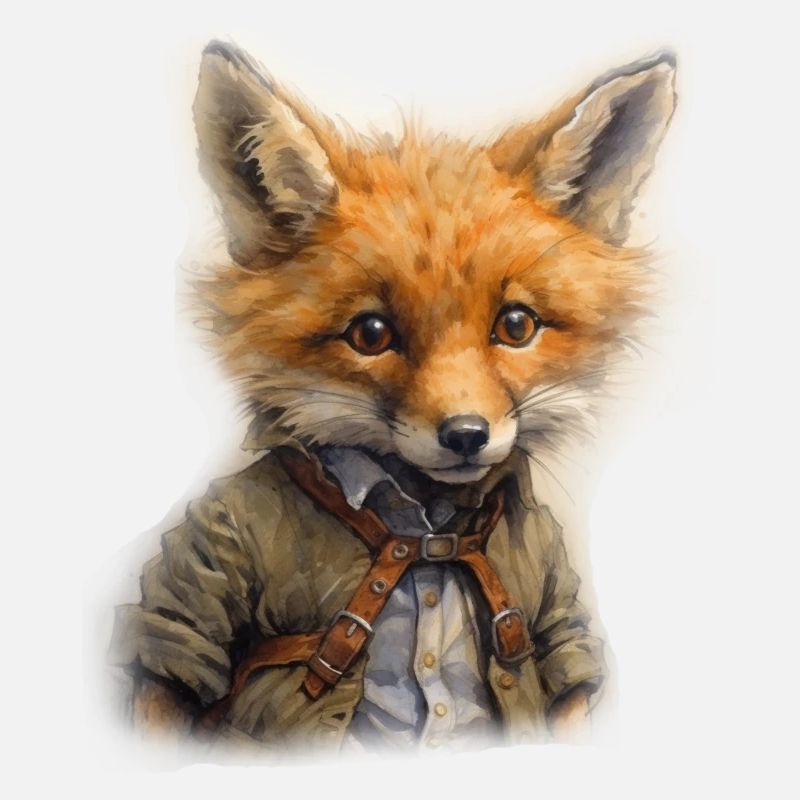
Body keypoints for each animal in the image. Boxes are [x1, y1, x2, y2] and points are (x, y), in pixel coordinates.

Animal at [111, 41, 676, 755]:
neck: (429, 529)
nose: (466, 434)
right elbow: (175, 659)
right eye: (371, 334)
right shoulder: (212, 563)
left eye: (517, 326)